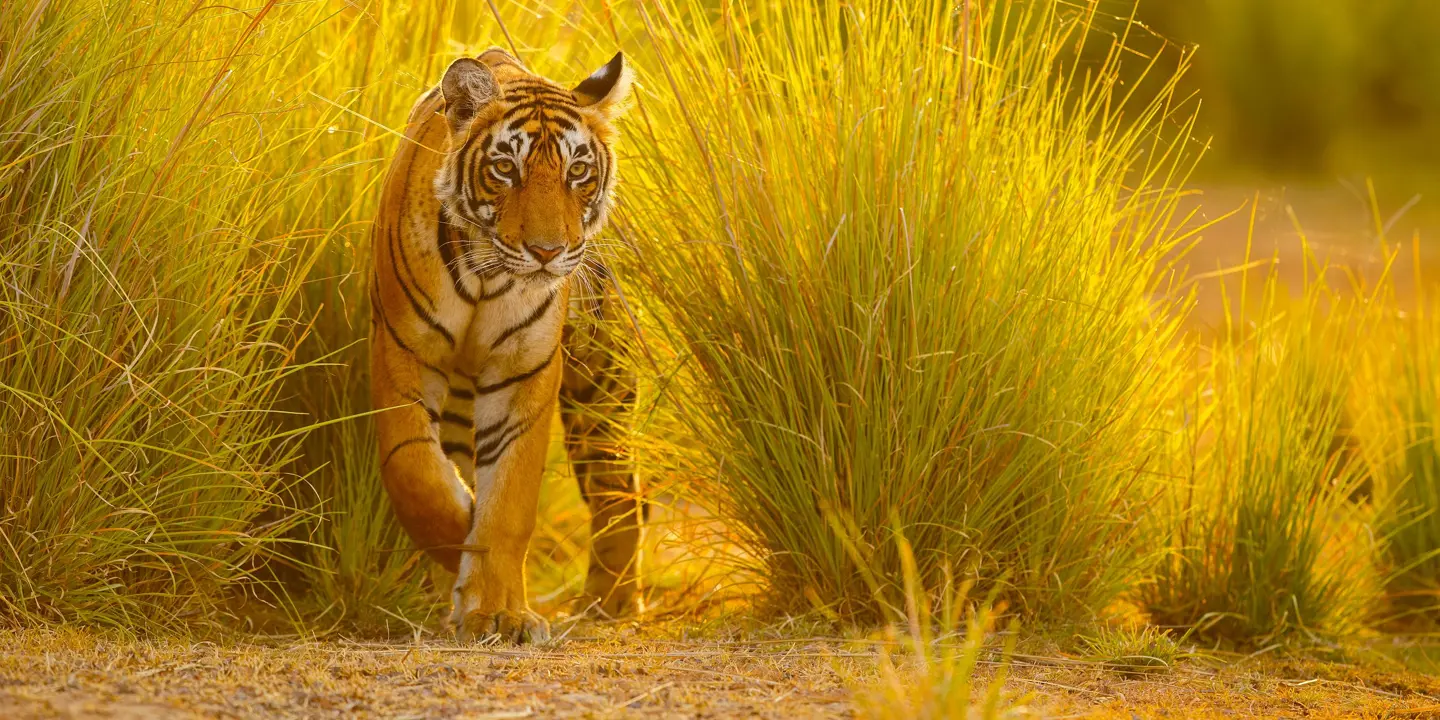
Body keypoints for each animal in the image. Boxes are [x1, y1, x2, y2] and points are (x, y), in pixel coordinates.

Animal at [371, 47, 642, 645]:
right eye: (505, 169)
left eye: (577, 171)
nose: (547, 251)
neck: (487, 276)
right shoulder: (404, 352)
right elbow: (417, 475)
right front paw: (461, 543)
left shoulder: (524, 370)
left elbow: (509, 500)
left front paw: (499, 614)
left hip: (602, 385)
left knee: (620, 491)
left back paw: (609, 602)